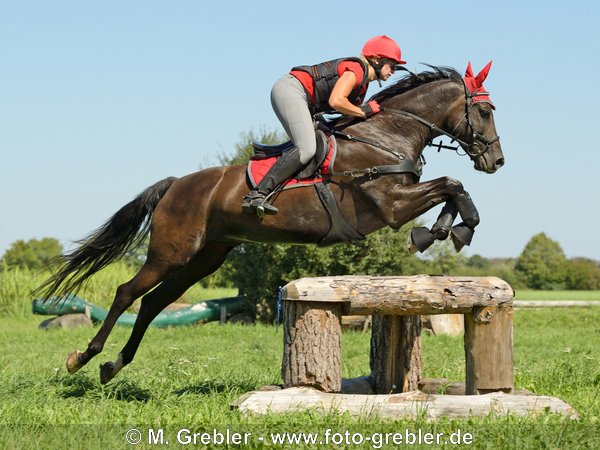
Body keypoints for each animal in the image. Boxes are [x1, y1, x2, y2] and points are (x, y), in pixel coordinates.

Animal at [36, 62, 502, 384]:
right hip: (171, 251)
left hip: (204, 259)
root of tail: (175, 185)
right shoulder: (388, 205)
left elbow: (452, 189)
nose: (496, 161)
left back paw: (114, 365)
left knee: (152, 303)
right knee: (126, 293)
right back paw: (84, 357)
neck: (386, 136)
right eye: (484, 111)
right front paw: (448, 230)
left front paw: (440, 232)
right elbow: (454, 185)